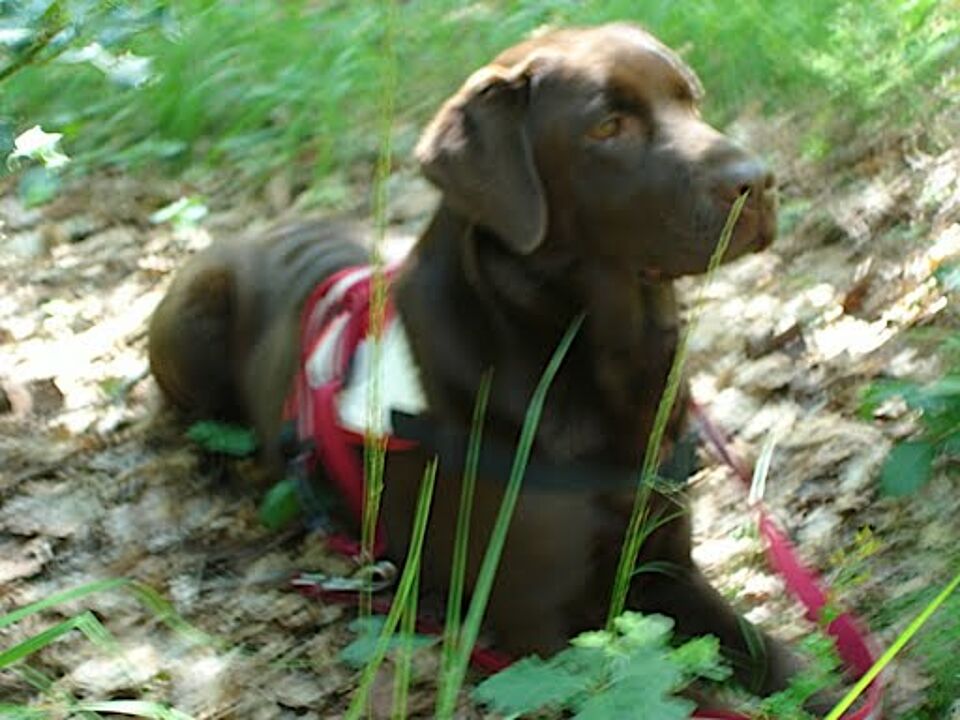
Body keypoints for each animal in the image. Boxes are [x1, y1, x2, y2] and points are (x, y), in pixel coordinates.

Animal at [149, 23, 795, 694]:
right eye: (606, 126)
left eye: (691, 99)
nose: (759, 179)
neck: (600, 354)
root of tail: (250, 233)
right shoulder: (546, 627)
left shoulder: (668, 564)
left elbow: (776, 657)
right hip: (195, 319)